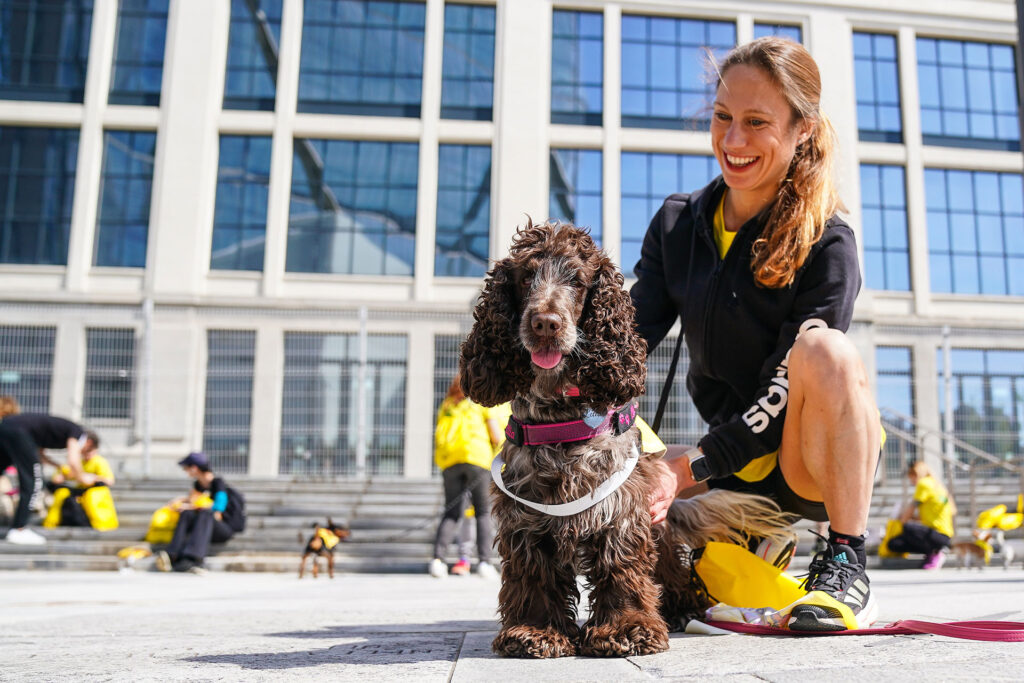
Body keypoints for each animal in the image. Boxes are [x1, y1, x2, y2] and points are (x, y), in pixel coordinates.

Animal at [460, 221, 794, 657]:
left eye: (578, 281)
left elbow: (621, 568)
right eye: (526, 277)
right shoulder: (526, 517)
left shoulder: (620, 509)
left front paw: (627, 628)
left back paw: (686, 611)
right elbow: (534, 574)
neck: (560, 416)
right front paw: (534, 630)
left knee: (670, 568)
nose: (546, 322)